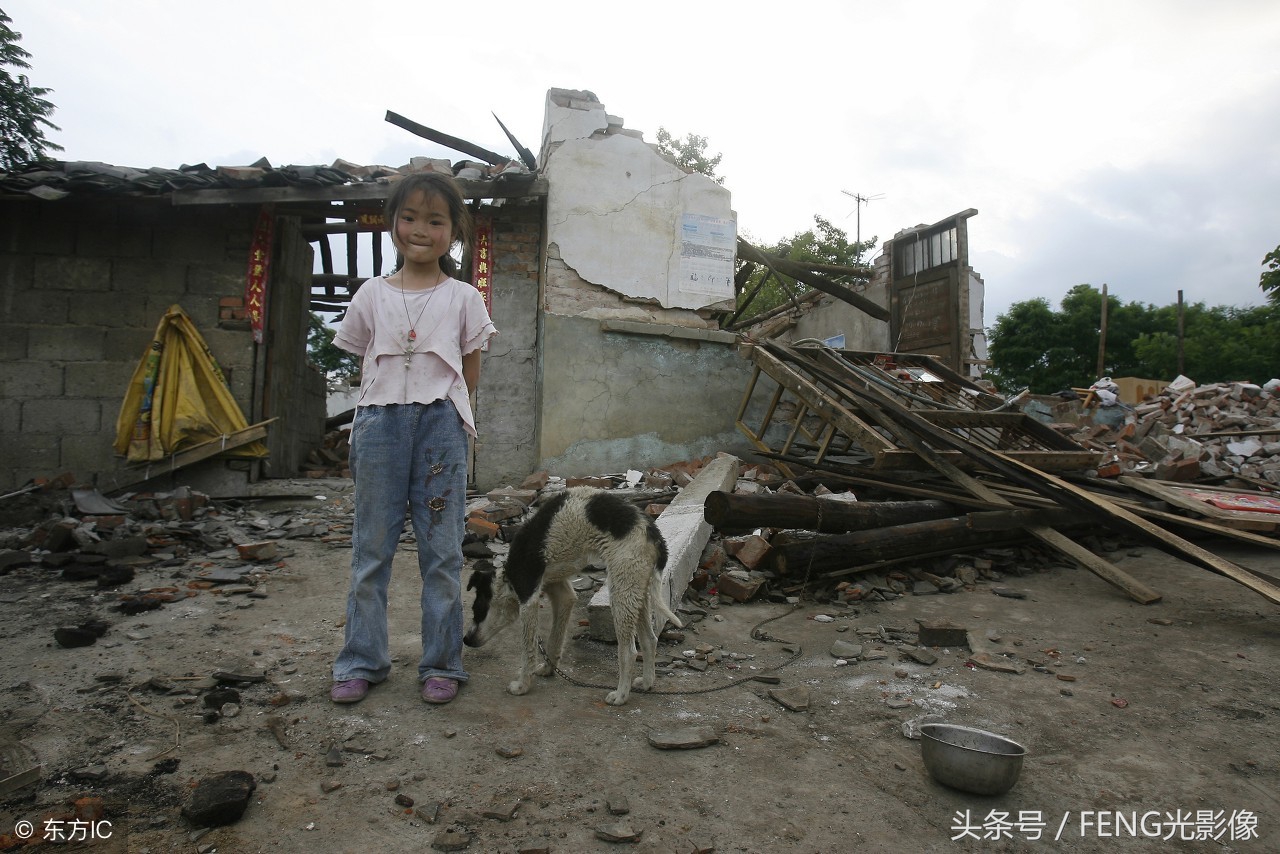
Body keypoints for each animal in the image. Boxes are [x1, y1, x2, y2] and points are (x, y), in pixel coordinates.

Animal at [460, 486, 680, 706]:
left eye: (477, 608)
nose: (466, 640)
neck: (508, 577)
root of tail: (654, 534)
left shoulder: (528, 599)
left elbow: (528, 650)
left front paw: (522, 685)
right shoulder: (562, 593)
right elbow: (554, 639)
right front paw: (548, 669)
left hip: (622, 590)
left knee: (629, 652)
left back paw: (620, 695)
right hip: (636, 588)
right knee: (649, 639)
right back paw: (647, 682)